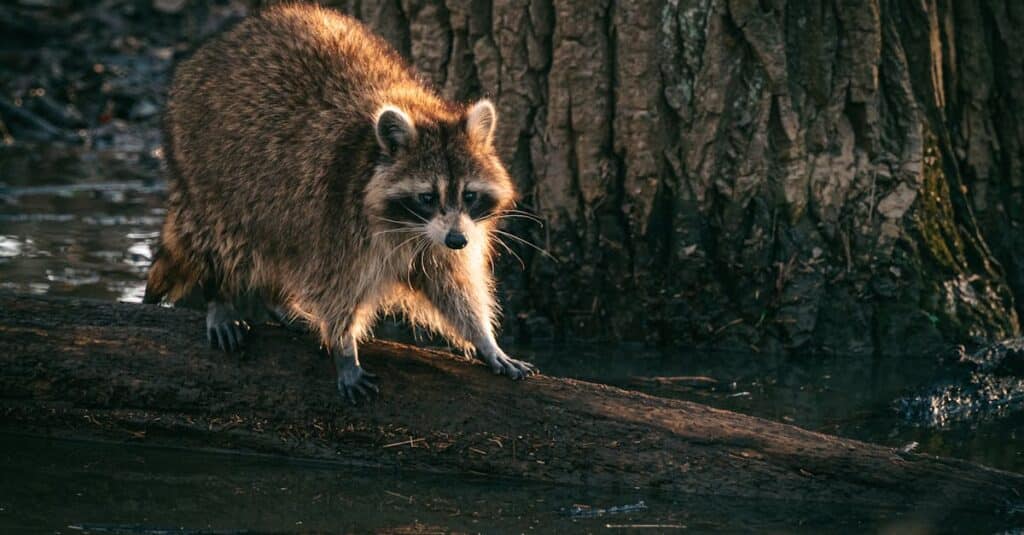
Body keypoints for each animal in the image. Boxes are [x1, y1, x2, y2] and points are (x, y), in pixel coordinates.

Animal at [147, 3, 540, 399]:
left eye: (469, 195)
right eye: (427, 197)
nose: (458, 241)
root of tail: (215, 47)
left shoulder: (442, 236)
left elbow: (454, 286)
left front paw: (484, 339)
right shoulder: (337, 213)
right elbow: (335, 285)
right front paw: (343, 345)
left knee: (278, 248)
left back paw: (275, 298)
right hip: (207, 168)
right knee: (223, 239)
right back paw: (219, 294)